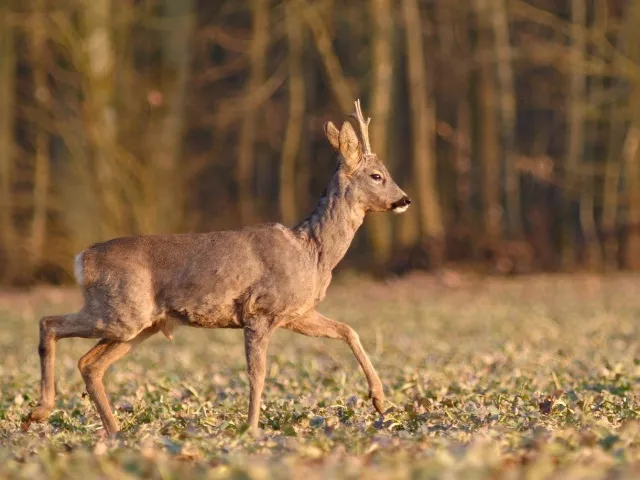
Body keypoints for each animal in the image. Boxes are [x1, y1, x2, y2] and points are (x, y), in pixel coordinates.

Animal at [23, 99, 410, 436]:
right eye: (377, 175)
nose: (404, 200)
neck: (312, 252)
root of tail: (82, 259)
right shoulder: (259, 310)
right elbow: (258, 374)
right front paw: (251, 429)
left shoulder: (296, 313)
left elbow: (348, 330)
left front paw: (380, 401)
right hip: (122, 312)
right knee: (49, 323)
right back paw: (40, 412)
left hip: (138, 325)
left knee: (89, 364)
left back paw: (115, 432)